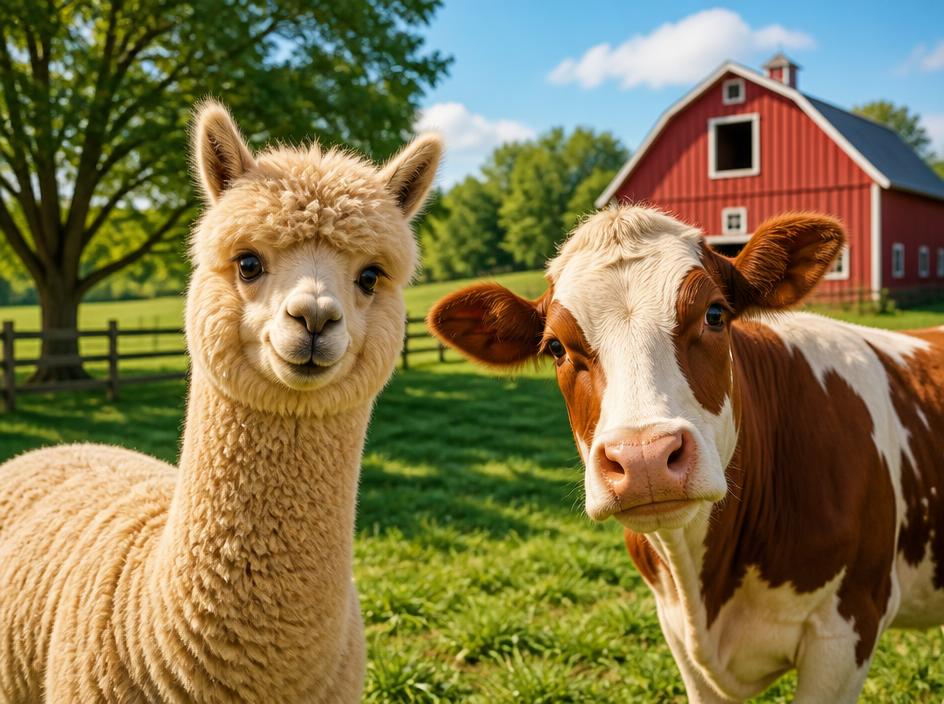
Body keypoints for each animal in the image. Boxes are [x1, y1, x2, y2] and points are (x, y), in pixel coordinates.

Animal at [427, 206, 944, 703]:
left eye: (714, 314)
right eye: (555, 346)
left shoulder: (847, 629)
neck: (707, 588)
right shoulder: (679, 634)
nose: (644, 460)